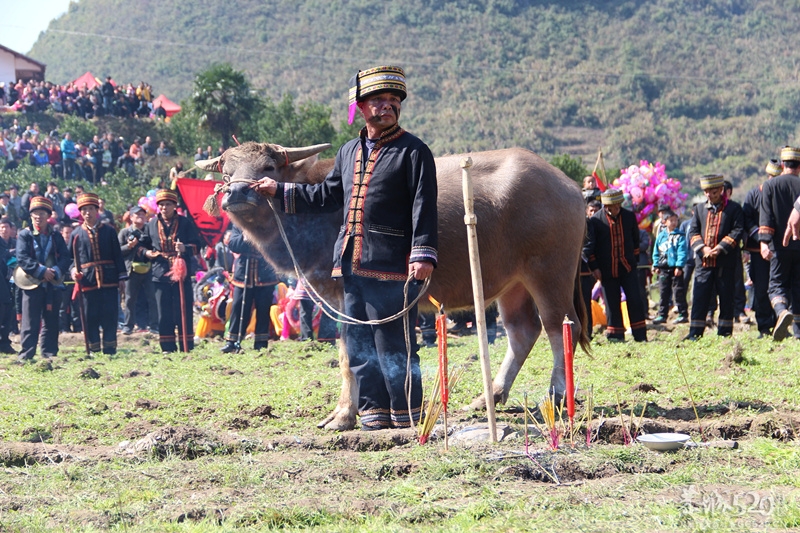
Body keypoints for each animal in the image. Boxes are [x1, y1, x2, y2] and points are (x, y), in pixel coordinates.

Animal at [198, 140, 592, 428]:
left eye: (267, 168)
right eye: (227, 172)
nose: (236, 193)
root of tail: (569, 187)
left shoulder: (345, 297)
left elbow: (351, 355)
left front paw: (344, 415)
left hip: (549, 273)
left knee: (560, 327)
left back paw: (555, 396)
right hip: (512, 284)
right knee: (522, 332)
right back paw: (490, 395)